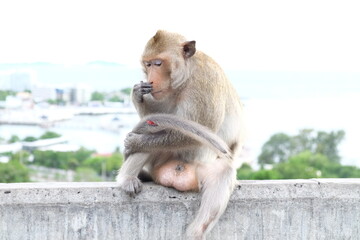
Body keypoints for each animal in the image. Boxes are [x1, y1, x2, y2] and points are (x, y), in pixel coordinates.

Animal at [116, 31, 246, 239]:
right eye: (147, 64)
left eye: (158, 63)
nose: (150, 78)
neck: (187, 76)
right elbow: (157, 120)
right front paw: (137, 94)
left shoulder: (205, 84)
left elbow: (194, 131)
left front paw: (135, 140)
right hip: (161, 162)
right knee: (153, 135)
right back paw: (128, 179)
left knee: (223, 173)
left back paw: (195, 233)